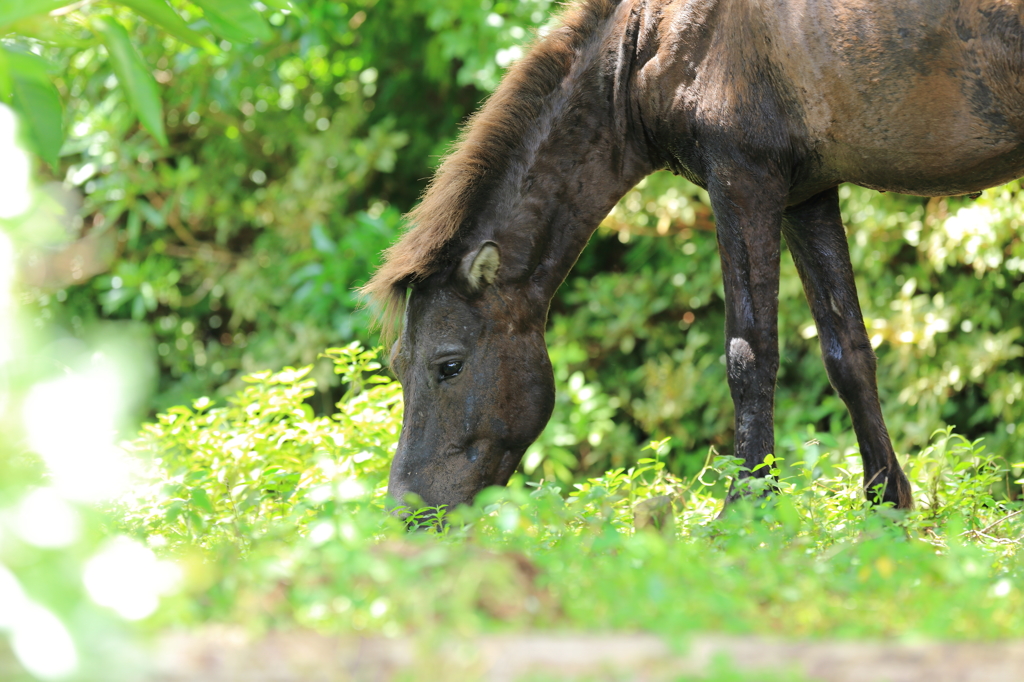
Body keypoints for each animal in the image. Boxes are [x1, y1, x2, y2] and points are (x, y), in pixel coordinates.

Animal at [362, 0, 1024, 509]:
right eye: (398, 365)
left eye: (449, 365)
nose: (405, 510)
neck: (652, 39)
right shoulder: (806, 195)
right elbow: (847, 353)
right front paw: (886, 505)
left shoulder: (743, 181)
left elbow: (749, 356)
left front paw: (747, 510)